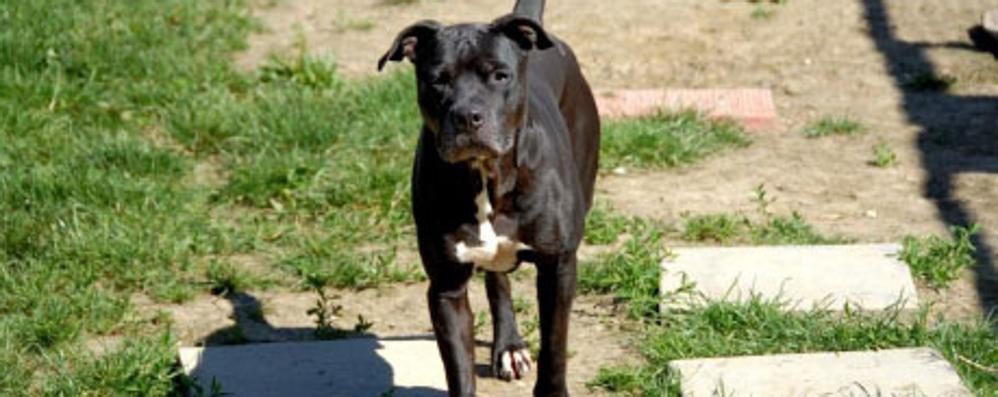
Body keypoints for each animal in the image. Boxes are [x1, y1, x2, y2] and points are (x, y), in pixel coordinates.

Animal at [380, 1, 600, 394]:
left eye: (500, 76)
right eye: (437, 80)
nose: (467, 116)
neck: (486, 175)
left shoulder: (558, 268)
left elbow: (554, 349)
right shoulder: (446, 287)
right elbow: (458, 367)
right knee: (497, 280)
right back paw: (508, 346)